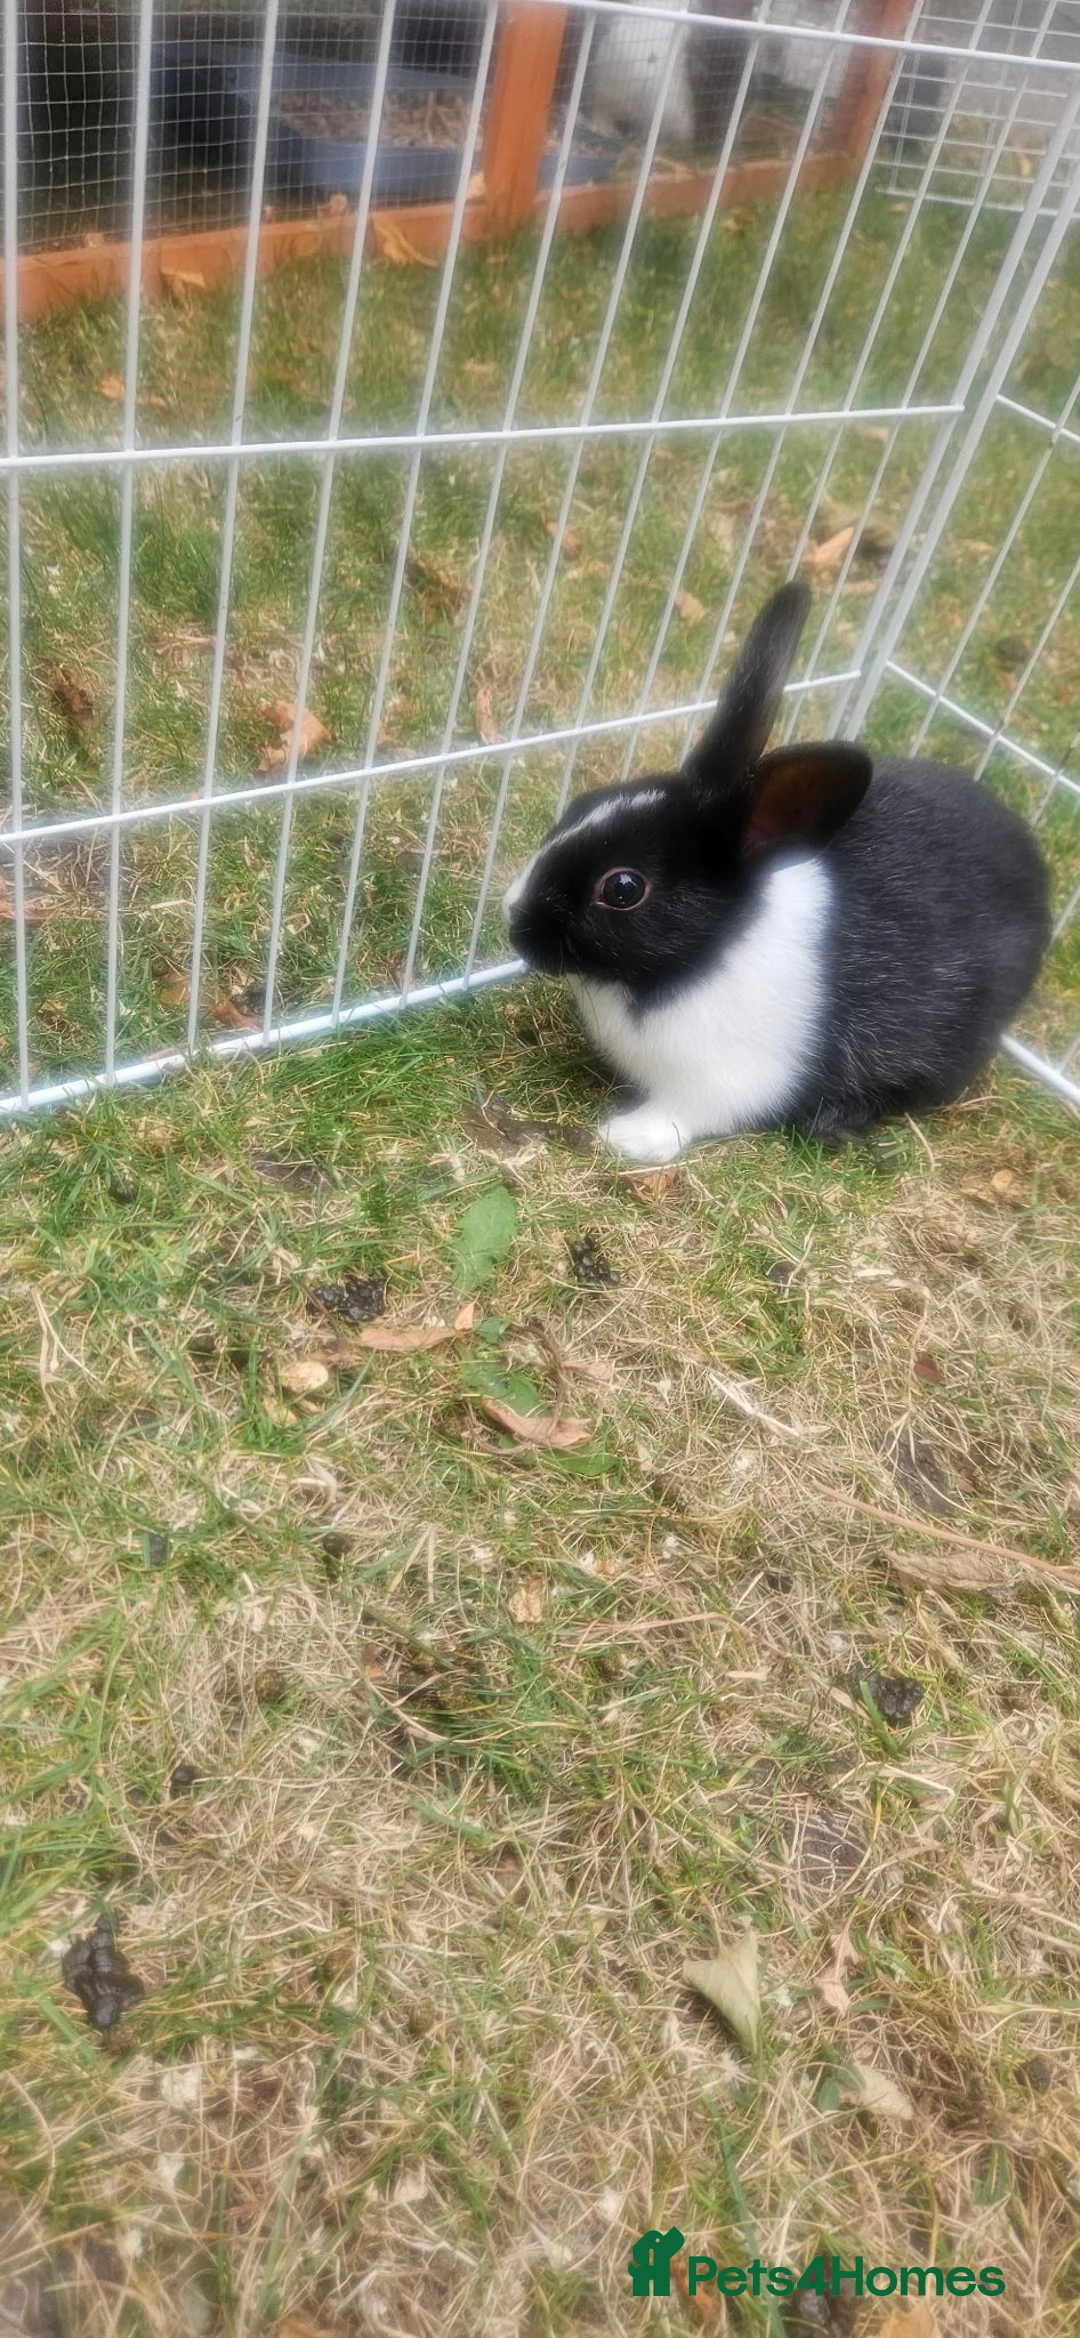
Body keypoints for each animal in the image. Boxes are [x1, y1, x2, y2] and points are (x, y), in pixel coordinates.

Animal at [503, 583, 1050, 1163]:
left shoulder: (723, 1080)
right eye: (583, 804)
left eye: (623, 888)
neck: (710, 950)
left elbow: (681, 1113)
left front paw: (625, 1137)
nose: (513, 921)